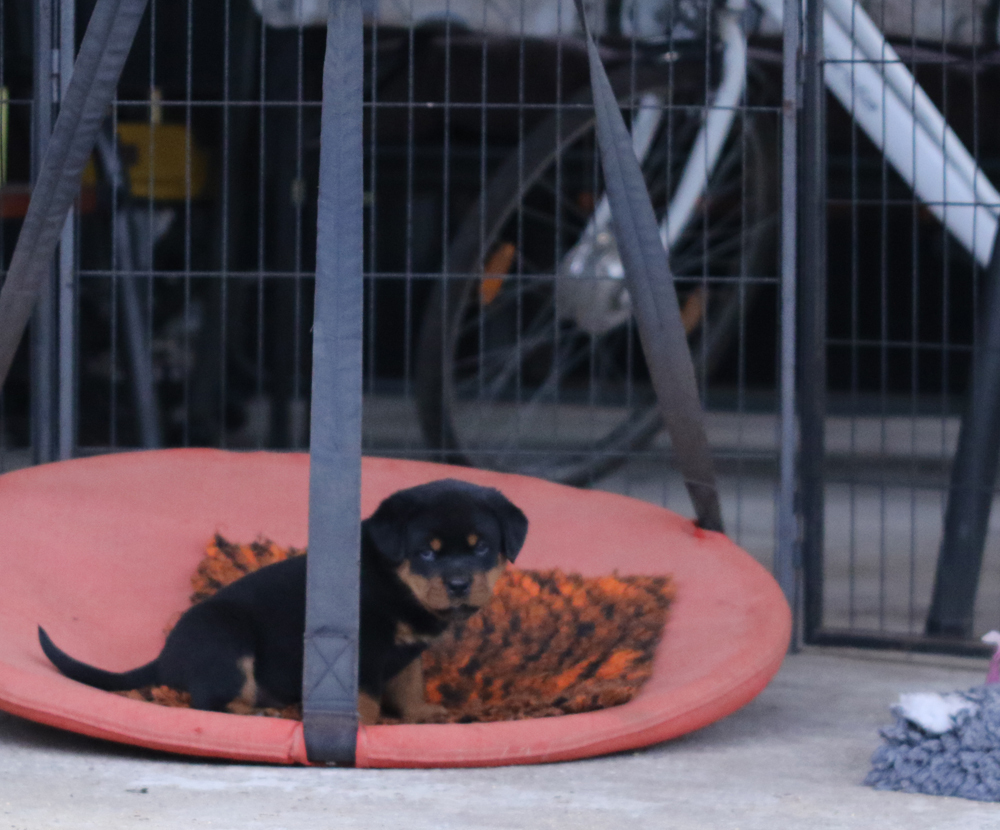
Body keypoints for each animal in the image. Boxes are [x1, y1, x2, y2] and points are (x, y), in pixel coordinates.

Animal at [38, 478, 528, 724]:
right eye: (426, 552)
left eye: (482, 548)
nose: (459, 583)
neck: (397, 583)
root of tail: (163, 658)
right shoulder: (363, 648)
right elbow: (365, 696)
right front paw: (365, 728)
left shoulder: (405, 652)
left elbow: (409, 684)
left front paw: (421, 714)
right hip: (226, 640)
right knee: (210, 701)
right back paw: (263, 712)